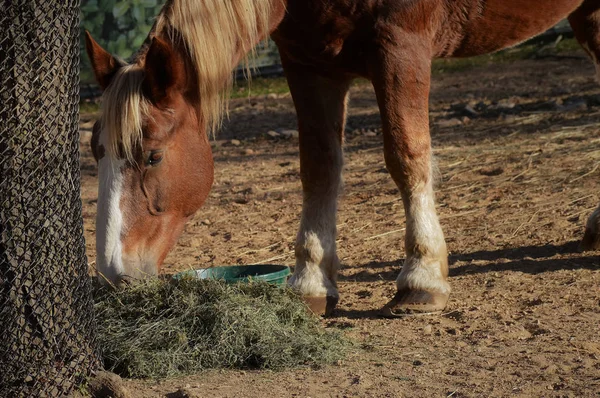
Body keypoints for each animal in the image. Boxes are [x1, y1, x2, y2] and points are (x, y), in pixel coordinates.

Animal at [85, 0, 600, 318]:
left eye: (152, 156)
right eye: (96, 151)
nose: (113, 272)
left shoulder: (401, 46)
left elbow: (407, 155)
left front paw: (422, 278)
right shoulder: (310, 64)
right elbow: (319, 167)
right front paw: (312, 280)